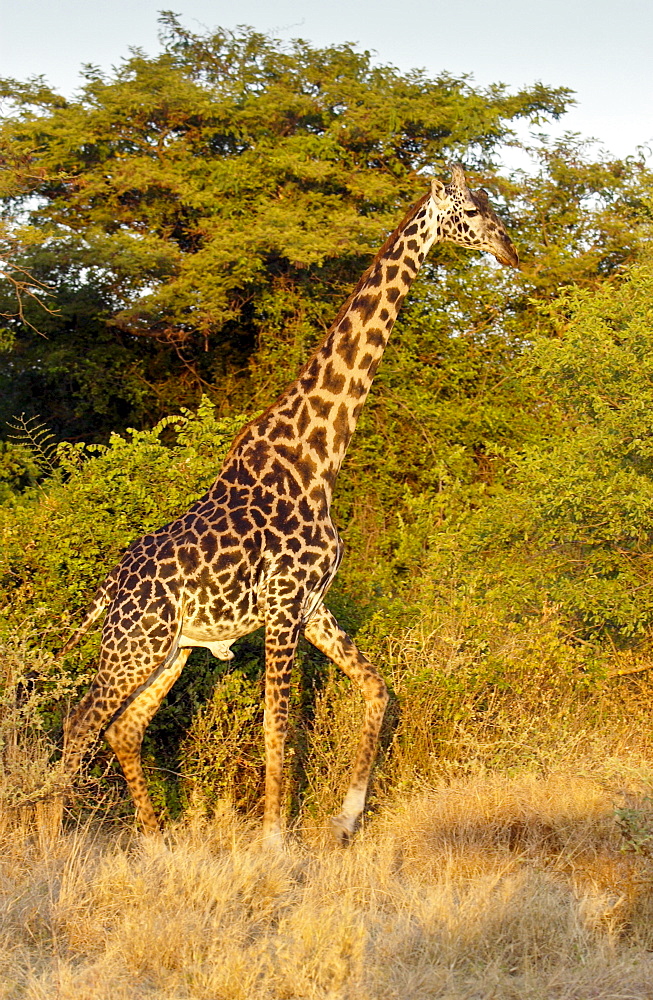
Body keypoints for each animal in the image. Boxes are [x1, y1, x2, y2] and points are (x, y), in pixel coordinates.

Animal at [62, 164, 520, 844]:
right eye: (470, 208)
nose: (510, 250)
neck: (319, 456)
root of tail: (109, 586)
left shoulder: (311, 604)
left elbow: (379, 690)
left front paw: (344, 819)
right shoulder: (281, 608)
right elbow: (278, 726)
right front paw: (276, 842)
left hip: (172, 649)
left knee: (122, 727)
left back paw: (154, 838)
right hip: (134, 643)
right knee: (79, 723)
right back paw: (49, 829)